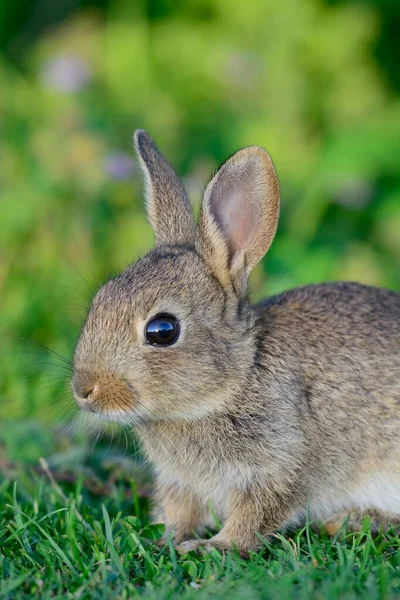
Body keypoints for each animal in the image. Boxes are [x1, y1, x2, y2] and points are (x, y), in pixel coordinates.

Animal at [72, 129, 400, 556]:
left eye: (162, 330)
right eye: (99, 301)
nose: (83, 390)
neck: (234, 382)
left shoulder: (281, 464)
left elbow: (255, 517)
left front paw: (214, 546)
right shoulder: (181, 482)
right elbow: (181, 512)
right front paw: (165, 539)